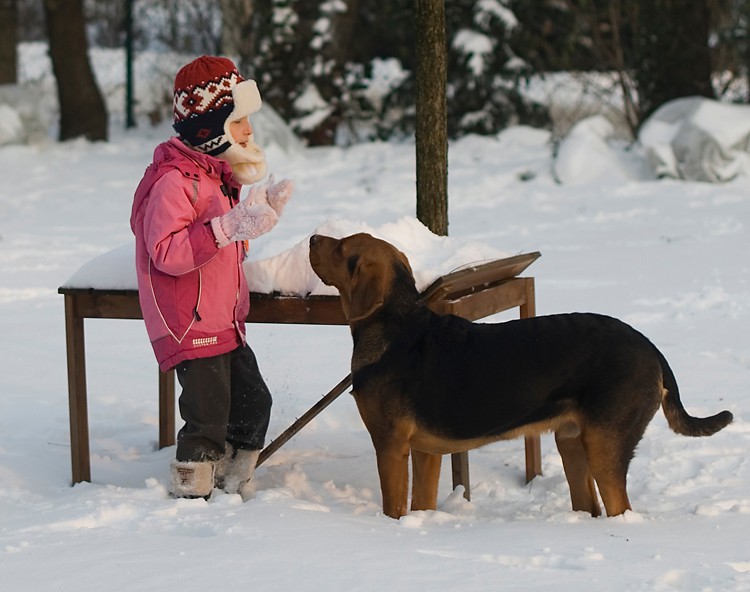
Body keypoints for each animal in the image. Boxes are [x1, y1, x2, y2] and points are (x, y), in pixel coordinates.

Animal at [308, 231, 736, 520]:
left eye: (343, 248)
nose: (311, 237)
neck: (395, 326)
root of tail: (653, 350)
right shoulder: (426, 451)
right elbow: (421, 502)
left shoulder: (390, 444)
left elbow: (394, 507)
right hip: (572, 443)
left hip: (604, 446)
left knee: (620, 506)